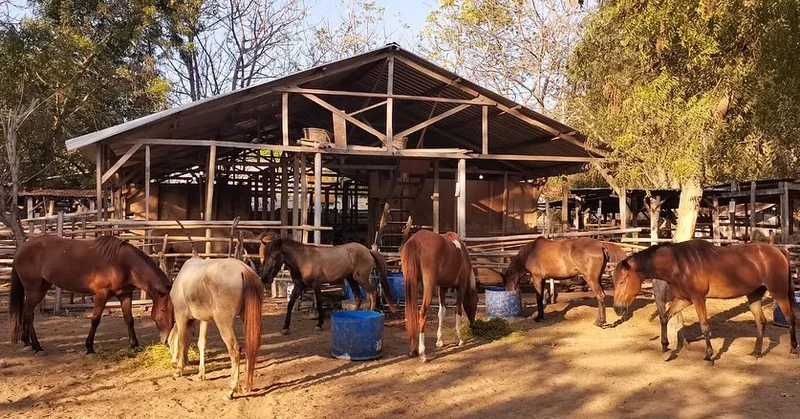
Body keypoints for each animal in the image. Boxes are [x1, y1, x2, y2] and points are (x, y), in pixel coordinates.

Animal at [9, 235, 174, 355]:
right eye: (163, 310)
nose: (166, 340)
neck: (123, 263)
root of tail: (20, 250)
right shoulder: (101, 294)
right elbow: (95, 320)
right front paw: (89, 347)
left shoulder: (125, 294)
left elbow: (129, 320)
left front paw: (134, 345)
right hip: (34, 290)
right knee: (28, 315)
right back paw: (37, 347)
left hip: (41, 288)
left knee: (25, 314)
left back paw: (27, 342)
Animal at [169, 257, 263, 399]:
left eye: (169, 344)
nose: (172, 361)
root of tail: (243, 269)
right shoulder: (204, 320)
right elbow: (201, 343)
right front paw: (200, 375)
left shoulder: (181, 316)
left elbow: (181, 342)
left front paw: (178, 370)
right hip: (246, 318)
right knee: (250, 346)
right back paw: (246, 387)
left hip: (223, 322)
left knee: (235, 350)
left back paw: (231, 390)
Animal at [260, 236, 397, 335]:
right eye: (265, 257)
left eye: (275, 256)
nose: (264, 278)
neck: (302, 259)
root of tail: (368, 250)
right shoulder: (299, 286)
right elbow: (290, 304)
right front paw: (285, 327)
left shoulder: (316, 285)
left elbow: (320, 304)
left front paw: (319, 325)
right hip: (351, 279)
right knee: (358, 296)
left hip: (360, 278)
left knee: (372, 293)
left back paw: (370, 313)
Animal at [402, 230, 478, 362]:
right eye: (476, 302)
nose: (473, 325)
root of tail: (415, 240)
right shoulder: (461, 288)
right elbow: (458, 311)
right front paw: (459, 339)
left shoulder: (442, 288)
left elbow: (441, 313)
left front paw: (440, 340)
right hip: (428, 286)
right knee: (422, 314)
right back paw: (423, 353)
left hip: (411, 283)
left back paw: (413, 350)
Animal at [613, 240, 798, 363]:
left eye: (622, 281)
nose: (617, 308)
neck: (680, 265)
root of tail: (779, 251)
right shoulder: (684, 300)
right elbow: (664, 317)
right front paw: (665, 347)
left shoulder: (698, 299)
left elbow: (704, 326)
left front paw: (709, 355)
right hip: (754, 295)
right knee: (761, 322)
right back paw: (756, 352)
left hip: (779, 293)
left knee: (790, 319)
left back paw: (793, 348)